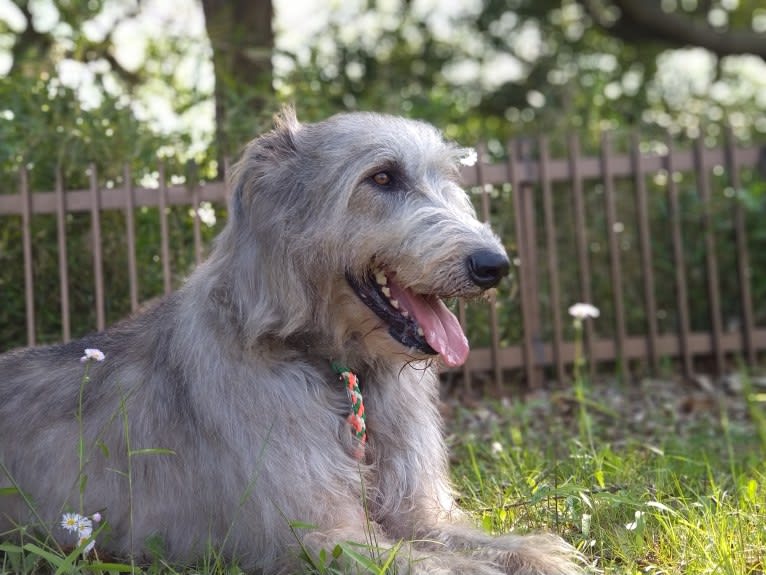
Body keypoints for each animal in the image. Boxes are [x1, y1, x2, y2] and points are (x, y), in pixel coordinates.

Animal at [0, 110, 584, 572]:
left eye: (445, 178)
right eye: (382, 176)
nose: (494, 265)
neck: (336, 370)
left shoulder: (414, 513)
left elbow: (489, 541)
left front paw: (537, 555)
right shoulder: (317, 538)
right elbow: (435, 565)